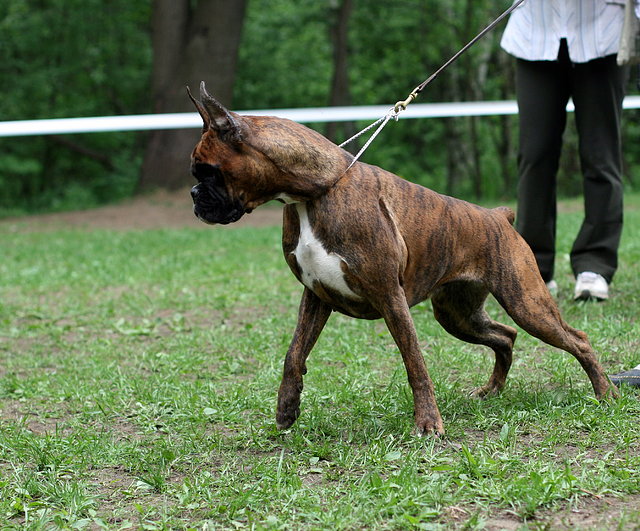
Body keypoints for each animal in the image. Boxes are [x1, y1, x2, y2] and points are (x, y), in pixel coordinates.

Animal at [188, 82, 616, 436]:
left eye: (206, 171)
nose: (194, 194)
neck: (314, 194)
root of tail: (498, 215)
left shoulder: (390, 297)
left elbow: (415, 364)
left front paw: (428, 424)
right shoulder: (316, 296)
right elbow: (294, 354)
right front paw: (286, 408)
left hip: (527, 303)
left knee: (576, 339)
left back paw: (606, 393)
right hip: (458, 314)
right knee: (505, 337)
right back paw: (492, 390)